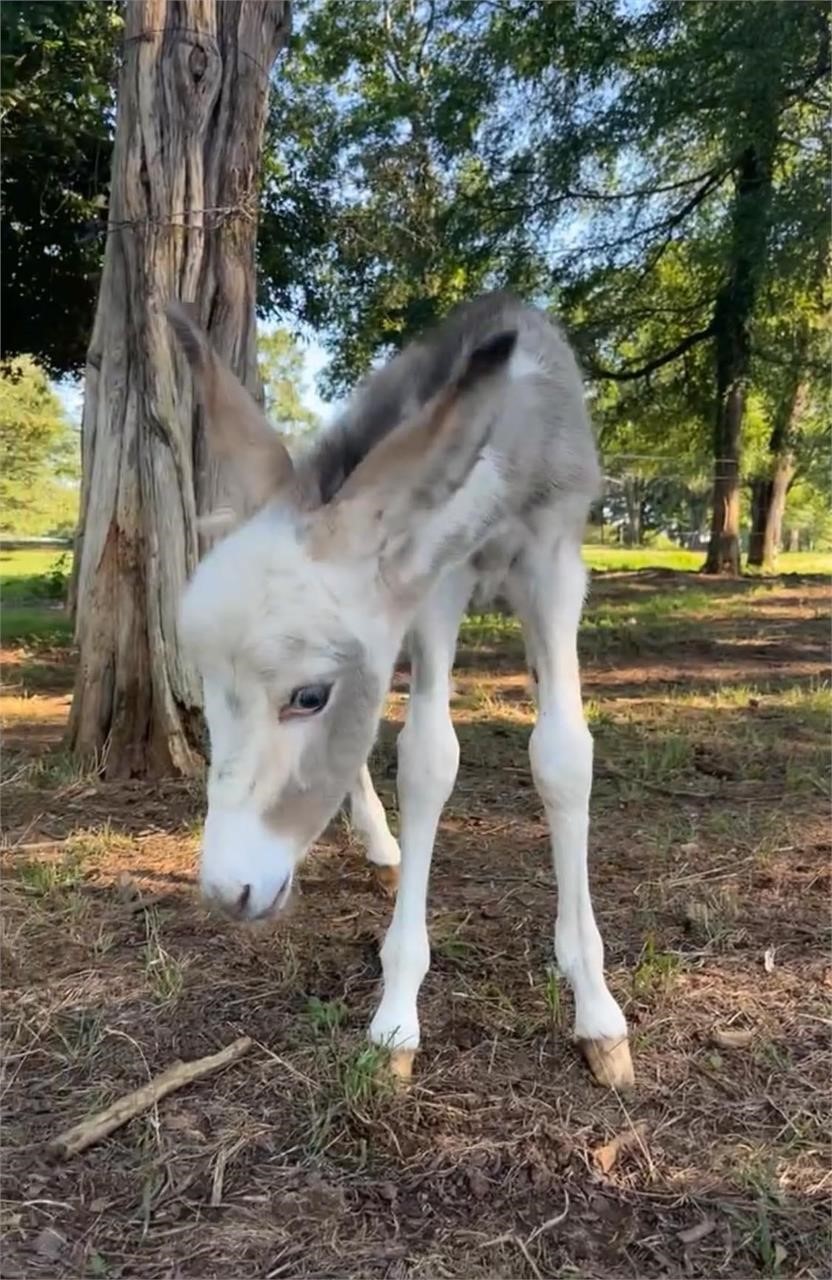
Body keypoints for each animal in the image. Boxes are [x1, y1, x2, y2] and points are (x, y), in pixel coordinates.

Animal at [170, 294, 634, 1085]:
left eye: (310, 696)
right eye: (207, 684)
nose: (229, 893)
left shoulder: (555, 561)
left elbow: (564, 757)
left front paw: (598, 1015)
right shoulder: (434, 586)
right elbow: (428, 759)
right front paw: (396, 1020)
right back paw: (382, 847)